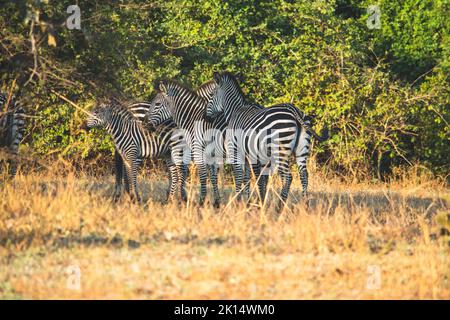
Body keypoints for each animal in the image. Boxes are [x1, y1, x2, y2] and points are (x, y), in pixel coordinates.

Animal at [205, 71, 326, 211]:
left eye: (212, 95)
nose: (205, 117)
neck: (235, 111)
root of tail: (294, 110)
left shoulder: (235, 150)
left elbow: (240, 176)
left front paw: (238, 201)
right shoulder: (252, 156)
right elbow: (252, 178)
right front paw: (251, 202)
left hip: (280, 150)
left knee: (288, 176)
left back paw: (280, 206)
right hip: (302, 149)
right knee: (304, 175)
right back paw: (305, 205)